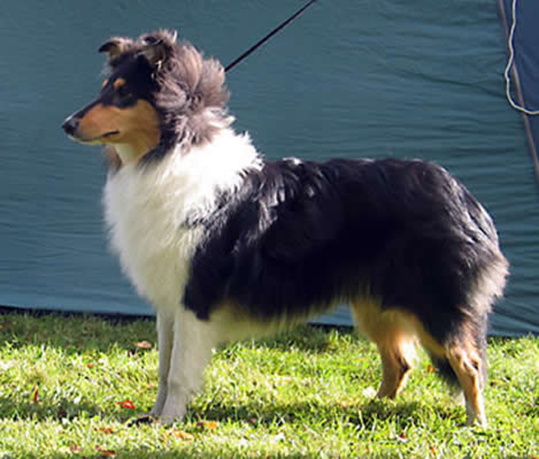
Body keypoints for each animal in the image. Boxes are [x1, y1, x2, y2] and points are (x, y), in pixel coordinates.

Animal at [63, 30, 508, 427]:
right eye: (105, 89)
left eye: (123, 94)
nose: (67, 123)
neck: (169, 152)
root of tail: (465, 197)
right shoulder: (169, 300)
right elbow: (162, 367)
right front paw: (150, 417)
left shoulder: (194, 297)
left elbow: (177, 372)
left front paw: (168, 423)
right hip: (377, 302)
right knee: (400, 361)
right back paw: (368, 408)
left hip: (435, 304)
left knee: (468, 364)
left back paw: (475, 424)